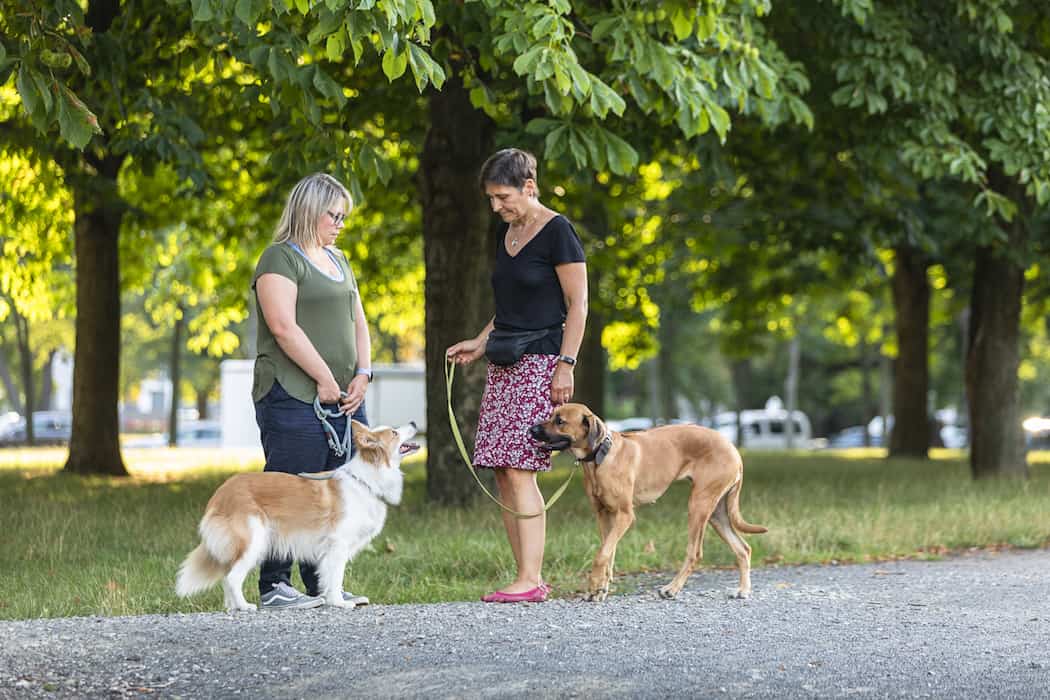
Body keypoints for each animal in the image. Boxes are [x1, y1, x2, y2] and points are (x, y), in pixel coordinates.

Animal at [174, 419, 415, 608]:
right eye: (394, 433)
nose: (413, 423)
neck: (365, 480)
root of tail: (220, 493)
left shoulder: (328, 550)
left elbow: (327, 577)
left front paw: (332, 599)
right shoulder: (338, 544)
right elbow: (336, 576)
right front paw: (339, 603)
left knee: (227, 576)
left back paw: (233, 607)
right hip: (254, 540)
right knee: (232, 577)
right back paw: (244, 607)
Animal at [533, 405, 764, 604]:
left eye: (560, 421)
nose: (530, 429)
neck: (601, 456)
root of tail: (733, 448)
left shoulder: (625, 515)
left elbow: (601, 555)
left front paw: (594, 585)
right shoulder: (604, 515)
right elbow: (608, 553)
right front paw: (600, 589)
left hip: (699, 505)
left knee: (695, 553)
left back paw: (671, 589)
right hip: (717, 513)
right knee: (743, 549)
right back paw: (743, 590)